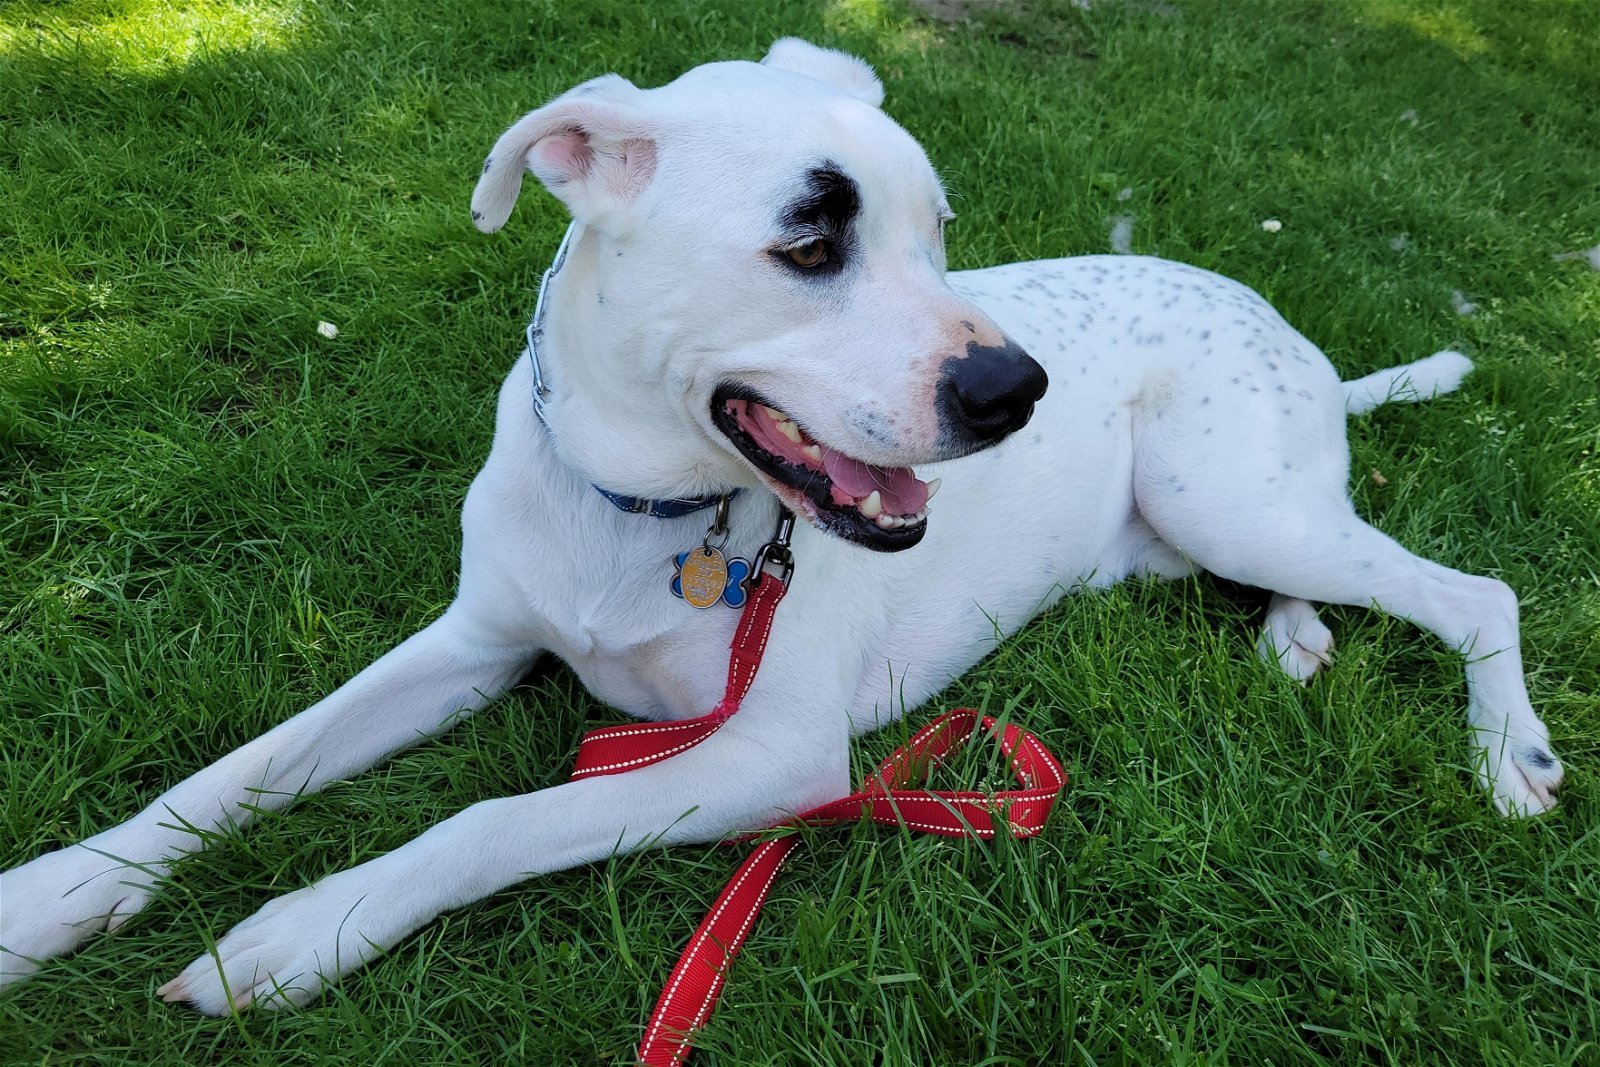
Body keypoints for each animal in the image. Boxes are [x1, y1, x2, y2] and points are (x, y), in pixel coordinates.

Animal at [0, 37, 1561, 1017]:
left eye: (940, 232)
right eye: (810, 243)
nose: (1018, 391)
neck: (644, 506)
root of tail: (1296, 335)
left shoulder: (775, 753)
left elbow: (492, 818)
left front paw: (298, 928)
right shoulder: (467, 643)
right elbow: (244, 767)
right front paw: (54, 893)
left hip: (1228, 496)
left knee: (1474, 590)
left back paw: (1510, 754)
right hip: (1228, 523)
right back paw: (1297, 640)